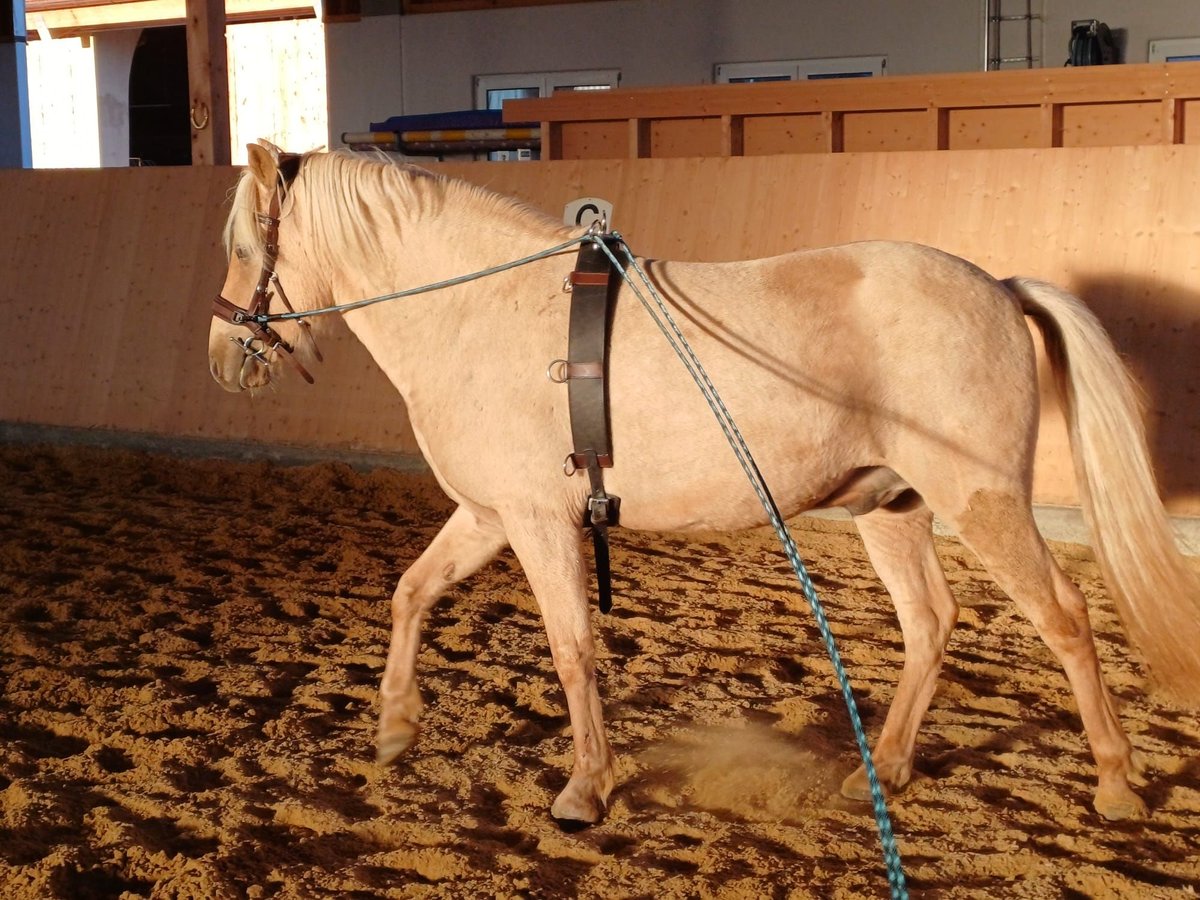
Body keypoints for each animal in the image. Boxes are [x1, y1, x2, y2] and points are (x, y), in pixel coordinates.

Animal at [211, 142, 1195, 830]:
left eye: (244, 247)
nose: (224, 356)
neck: (480, 315)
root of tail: (994, 284)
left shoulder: (537, 521)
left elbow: (572, 647)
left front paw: (585, 789)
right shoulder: (488, 514)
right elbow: (412, 592)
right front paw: (394, 727)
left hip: (980, 502)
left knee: (1063, 618)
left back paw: (1115, 785)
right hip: (893, 506)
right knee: (930, 623)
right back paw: (882, 768)